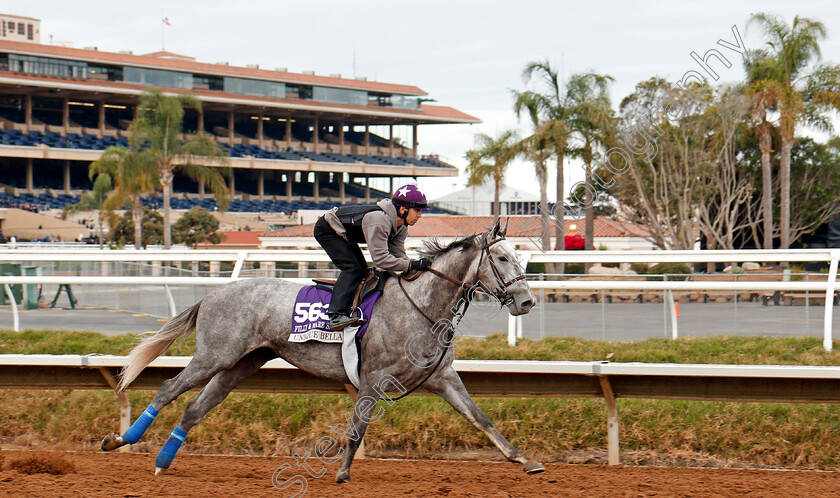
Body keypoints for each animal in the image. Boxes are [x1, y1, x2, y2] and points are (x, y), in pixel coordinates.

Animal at [101, 220, 544, 480]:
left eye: (517, 256)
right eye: (501, 257)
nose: (526, 302)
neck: (422, 305)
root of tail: (212, 295)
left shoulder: (443, 377)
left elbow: (482, 419)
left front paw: (525, 460)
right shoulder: (373, 378)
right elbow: (357, 428)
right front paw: (342, 473)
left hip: (241, 364)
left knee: (196, 407)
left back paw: (162, 461)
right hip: (215, 355)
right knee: (168, 388)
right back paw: (120, 441)